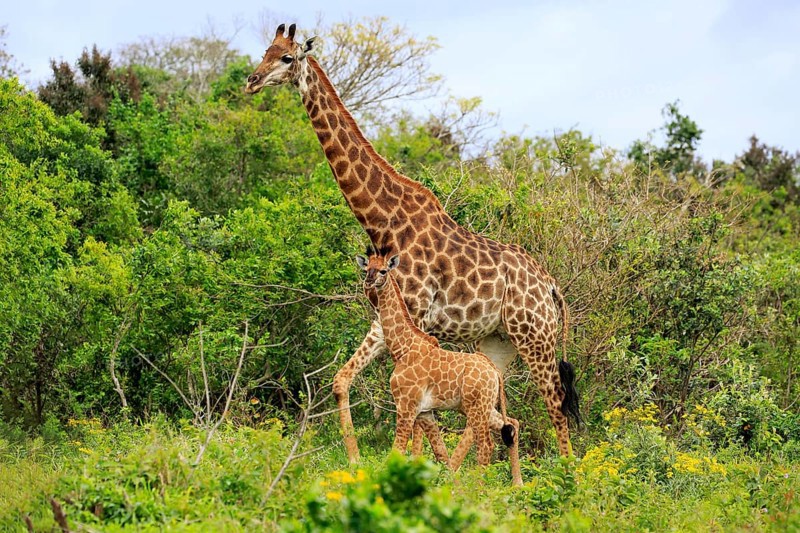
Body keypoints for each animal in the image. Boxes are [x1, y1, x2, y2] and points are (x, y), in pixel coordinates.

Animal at [245, 23, 581, 463]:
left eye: (287, 58)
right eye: (264, 52)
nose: (251, 81)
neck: (384, 221)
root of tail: (552, 287)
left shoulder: (419, 316)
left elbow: (417, 413)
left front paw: (412, 464)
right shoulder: (385, 315)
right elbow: (341, 381)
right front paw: (356, 459)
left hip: (534, 335)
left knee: (554, 402)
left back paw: (567, 471)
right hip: (498, 342)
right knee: (492, 411)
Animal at [358, 250, 523, 486]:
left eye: (383, 270)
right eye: (366, 268)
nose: (369, 281)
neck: (402, 348)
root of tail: (494, 372)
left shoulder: (406, 406)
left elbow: (396, 451)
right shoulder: (425, 412)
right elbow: (441, 453)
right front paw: (450, 488)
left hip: (477, 407)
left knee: (486, 445)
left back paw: (480, 489)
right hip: (481, 406)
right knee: (511, 426)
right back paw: (517, 484)